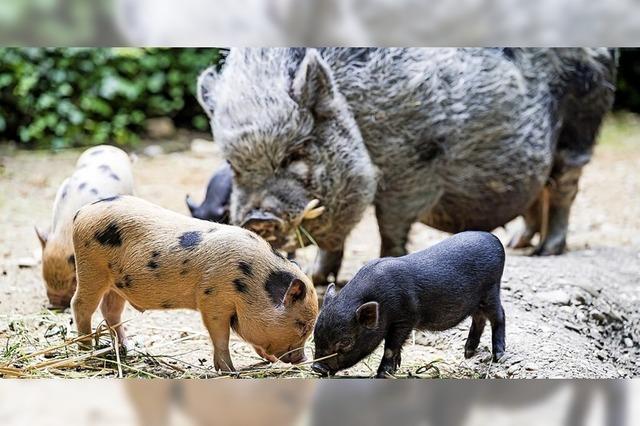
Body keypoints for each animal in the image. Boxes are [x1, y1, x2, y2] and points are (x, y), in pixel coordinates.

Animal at [199, 48, 616, 284]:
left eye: (295, 153)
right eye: (234, 165)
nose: (258, 219)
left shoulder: (412, 167)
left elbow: (390, 225)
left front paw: (386, 262)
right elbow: (335, 241)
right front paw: (315, 277)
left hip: (581, 122)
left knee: (564, 188)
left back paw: (547, 252)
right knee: (537, 194)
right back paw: (519, 245)